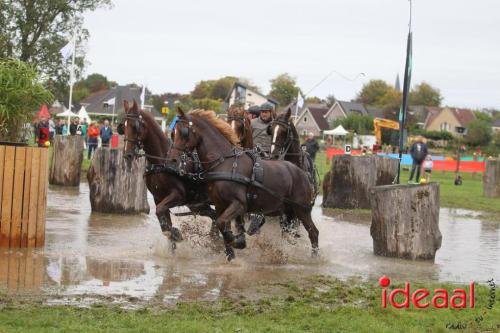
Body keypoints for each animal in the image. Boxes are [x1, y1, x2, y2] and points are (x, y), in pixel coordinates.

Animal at [121, 100, 217, 248]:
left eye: (135, 126)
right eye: (123, 127)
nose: (128, 155)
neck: (161, 161)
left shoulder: (177, 195)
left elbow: (161, 214)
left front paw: (176, 233)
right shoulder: (159, 198)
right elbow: (164, 224)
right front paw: (173, 236)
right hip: (198, 204)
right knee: (215, 216)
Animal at [168, 109, 316, 260]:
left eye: (184, 132)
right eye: (173, 132)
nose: (173, 160)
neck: (224, 162)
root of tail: (301, 173)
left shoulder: (239, 204)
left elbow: (222, 223)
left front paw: (238, 242)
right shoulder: (220, 206)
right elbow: (221, 225)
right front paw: (231, 254)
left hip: (301, 209)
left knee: (313, 232)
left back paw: (314, 256)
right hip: (287, 211)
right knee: (289, 233)